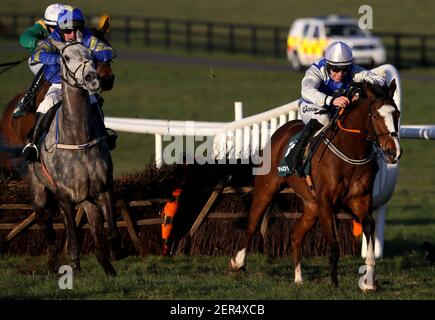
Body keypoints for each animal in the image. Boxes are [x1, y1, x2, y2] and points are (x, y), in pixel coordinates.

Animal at [28, 38, 124, 276]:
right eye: (66, 57)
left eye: (90, 54)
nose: (91, 77)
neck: (78, 138)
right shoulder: (64, 196)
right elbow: (72, 237)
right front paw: (73, 267)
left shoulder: (104, 187)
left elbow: (110, 231)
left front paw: (116, 253)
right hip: (39, 195)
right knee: (46, 227)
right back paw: (52, 264)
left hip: (87, 199)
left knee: (95, 224)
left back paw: (106, 266)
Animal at [230, 80, 404, 290]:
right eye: (376, 115)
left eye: (397, 114)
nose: (393, 151)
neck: (351, 152)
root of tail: (280, 132)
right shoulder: (326, 201)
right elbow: (334, 244)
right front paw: (334, 283)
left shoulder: (360, 199)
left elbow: (369, 227)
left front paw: (369, 282)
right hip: (266, 190)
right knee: (253, 224)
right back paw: (238, 262)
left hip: (311, 206)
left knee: (296, 235)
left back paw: (298, 278)